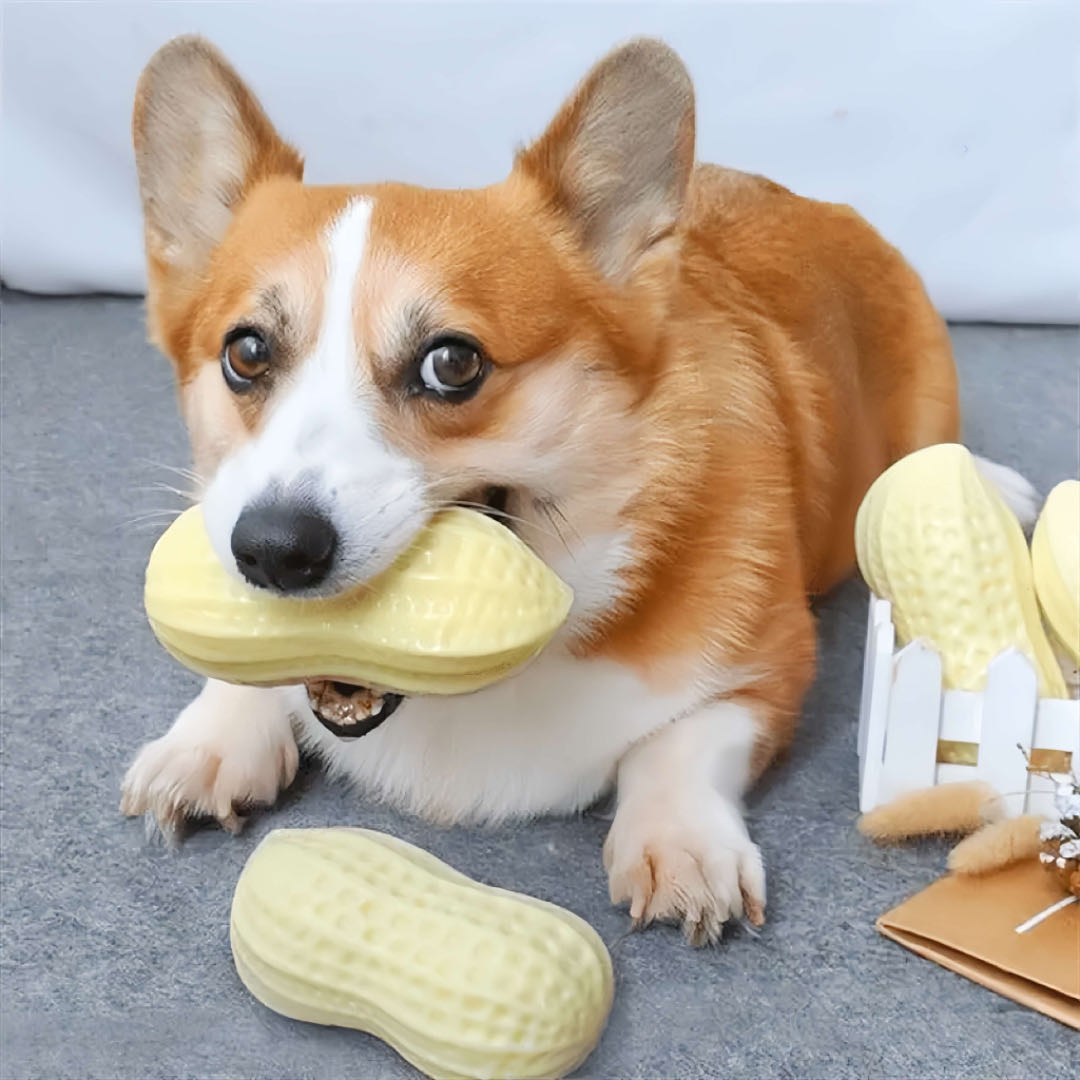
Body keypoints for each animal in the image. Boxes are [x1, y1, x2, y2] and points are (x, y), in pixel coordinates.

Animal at [122, 35, 959, 946]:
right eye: (246, 352)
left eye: (452, 363)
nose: (273, 551)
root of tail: (820, 202)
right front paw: (209, 742)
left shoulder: (768, 672)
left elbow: (681, 743)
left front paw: (681, 843)